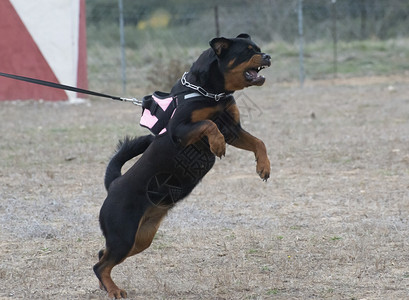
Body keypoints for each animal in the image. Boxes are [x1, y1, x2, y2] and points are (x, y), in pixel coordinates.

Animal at [93, 33, 270, 298]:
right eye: (248, 51)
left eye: (258, 48)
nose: (267, 56)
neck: (212, 93)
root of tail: (113, 185)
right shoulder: (180, 130)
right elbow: (209, 124)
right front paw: (217, 145)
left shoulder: (234, 130)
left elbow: (259, 142)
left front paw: (264, 166)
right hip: (124, 235)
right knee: (100, 265)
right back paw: (113, 290)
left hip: (140, 238)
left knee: (102, 255)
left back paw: (106, 286)